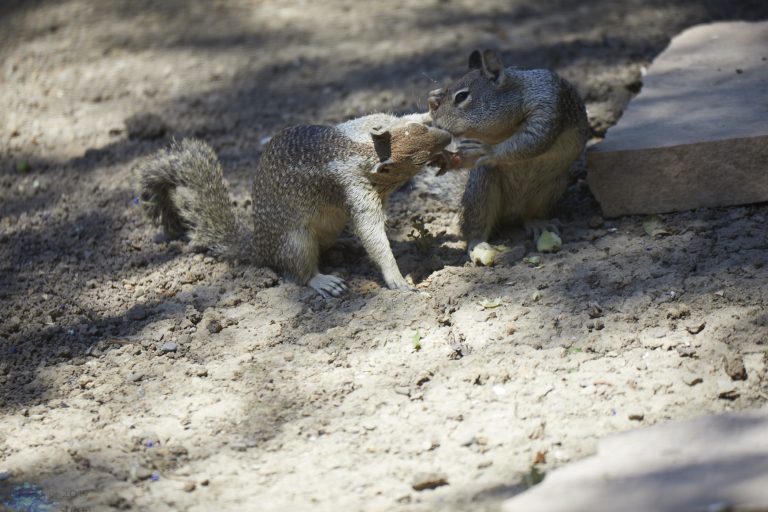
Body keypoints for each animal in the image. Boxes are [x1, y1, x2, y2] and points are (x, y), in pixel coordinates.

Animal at [136, 113, 452, 298]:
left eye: (421, 127)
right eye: (419, 161)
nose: (449, 137)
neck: (361, 152)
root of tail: (259, 247)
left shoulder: (359, 128)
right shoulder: (353, 190)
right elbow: (371, 232)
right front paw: (396, 278)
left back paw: (345, 246)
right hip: (296, 242)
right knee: (298, 274)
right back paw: (323, 281)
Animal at [428, 49, 589, 265]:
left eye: (461, 96)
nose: (436, 123)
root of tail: (511, 213)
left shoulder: (548, 106)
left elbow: (533, 139)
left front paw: (488, 151)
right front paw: (451, 159)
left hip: (549, 189)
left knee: (528, 216)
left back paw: (539, 224)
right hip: (480, 189)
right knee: (475, 227)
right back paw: (478, 244)